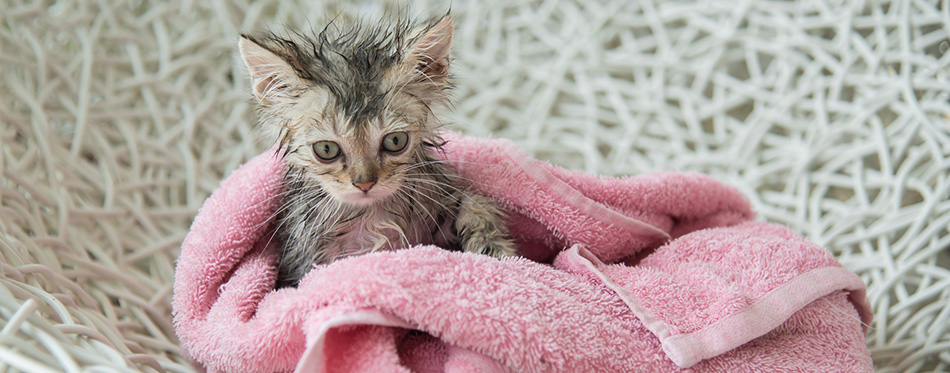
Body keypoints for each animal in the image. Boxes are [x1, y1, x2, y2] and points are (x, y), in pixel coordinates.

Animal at [242, 14, 516, 286]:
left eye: (395, 141)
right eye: (326, 149)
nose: (365, 183)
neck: (371, 216)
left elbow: (475, 203)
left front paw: (493, 248)